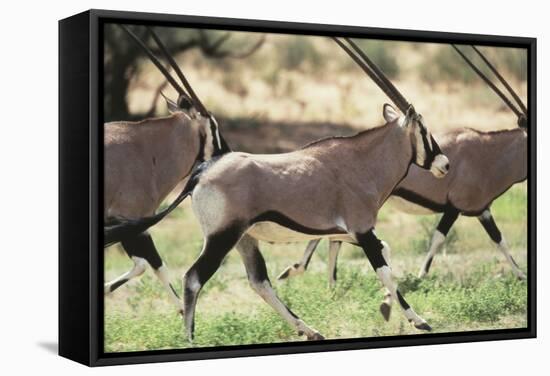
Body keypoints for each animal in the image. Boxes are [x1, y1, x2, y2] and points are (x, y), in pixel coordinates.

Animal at [103, 25, 229, 312]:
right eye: (213, 126)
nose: (227, 153)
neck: (146, 150)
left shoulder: (129, 224)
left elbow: (146, 265)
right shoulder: (131, 219)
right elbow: (154, 265)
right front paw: (182, 309)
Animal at [280, 44, 532, 290]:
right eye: (424, 131)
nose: (446, 164)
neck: (490, 152)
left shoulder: (482, 210)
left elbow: (499, 239)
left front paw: (521, 275)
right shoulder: (454, 207)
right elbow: (438, 238)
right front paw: (421, 276)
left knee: (332, 238)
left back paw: (329, 284)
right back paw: (302, 273)